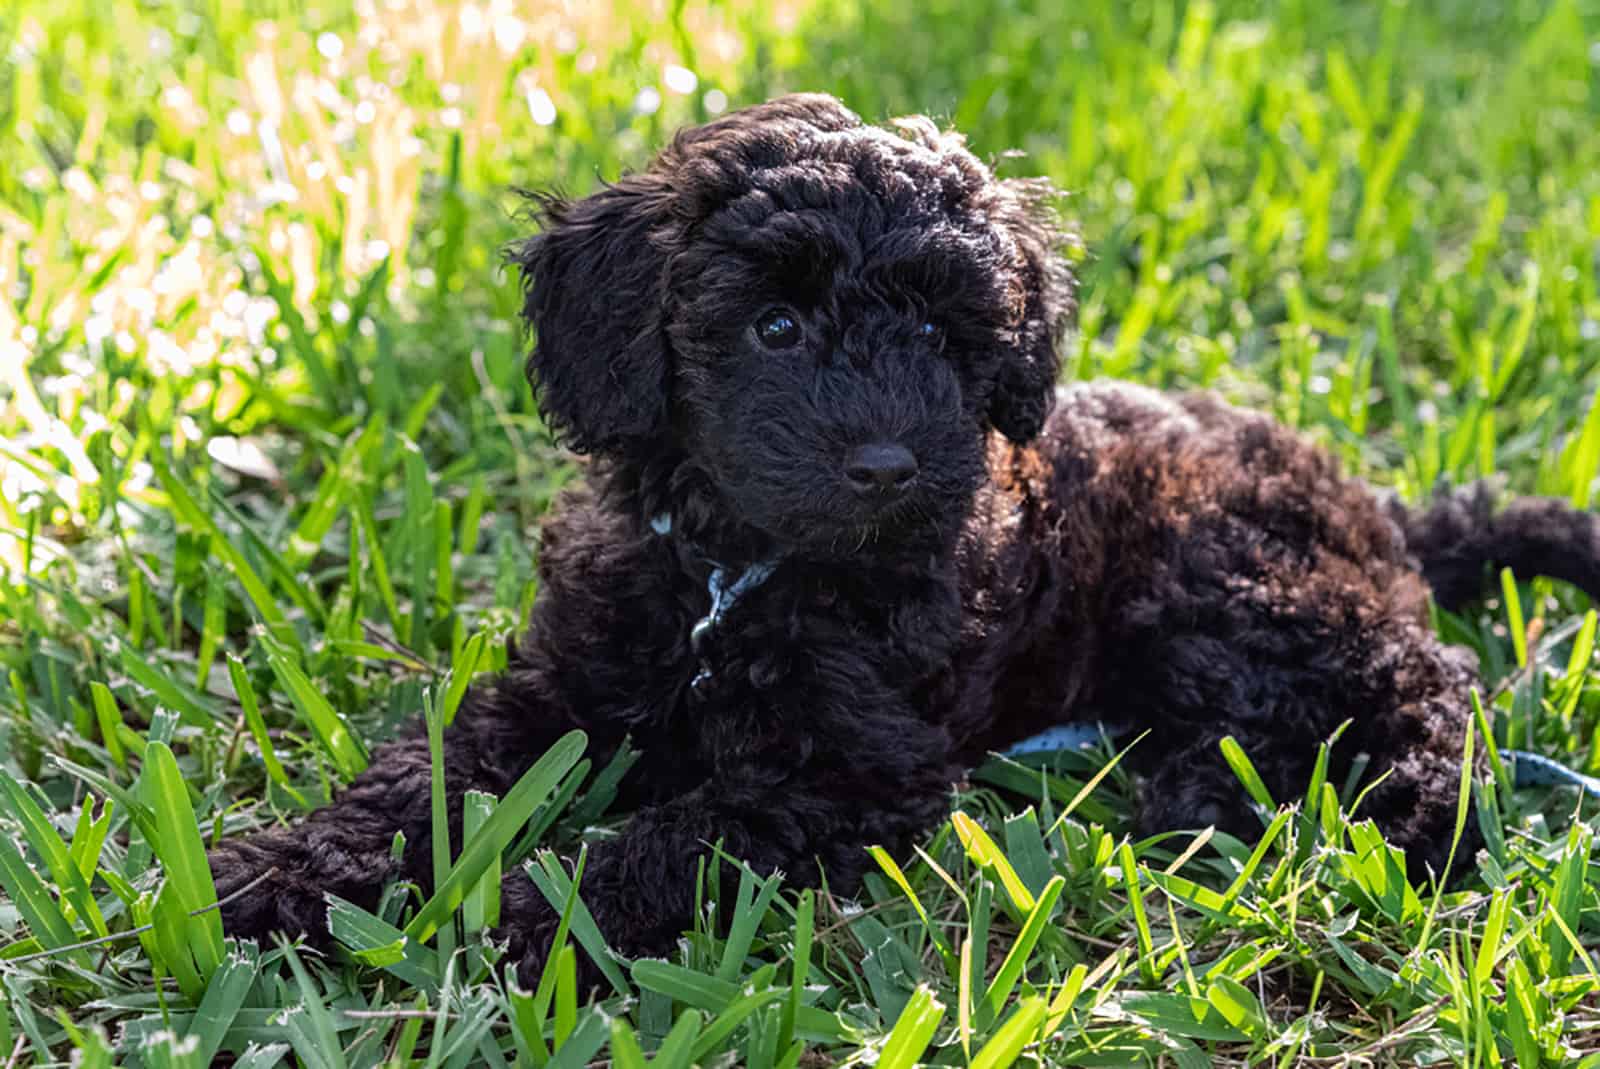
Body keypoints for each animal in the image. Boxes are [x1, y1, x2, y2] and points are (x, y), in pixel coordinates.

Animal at [212, 96, 1600, 979]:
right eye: (773, 328)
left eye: (940, 335)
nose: (887, 466)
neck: (734, 572)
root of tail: (1377, 508)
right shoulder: (567, 682)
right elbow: (430, 768)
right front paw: (286, 872)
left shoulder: (851, 770)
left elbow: (685, 834)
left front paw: (539, 921)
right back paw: (1196, 797)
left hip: (1241, 586)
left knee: (1428, 690)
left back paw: (1383, 814)